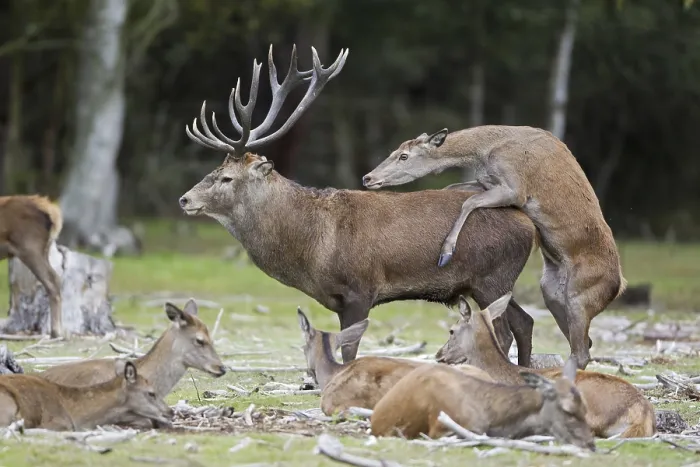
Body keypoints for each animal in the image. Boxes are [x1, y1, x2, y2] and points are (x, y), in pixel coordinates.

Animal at [177, 43, 539, 367]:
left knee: (504, 332)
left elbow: (349, 350)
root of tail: (529, 225)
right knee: (526, 322)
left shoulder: (359, 289)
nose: (185, 199)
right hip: (491, 282)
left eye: (227, 178)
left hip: (492, 278)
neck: (312, 247)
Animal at [362, 126, 627, 370]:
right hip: (552, 293)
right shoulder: (484, 182)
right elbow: (453, 187)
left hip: (581, 296)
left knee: (581, 350)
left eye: (403, 156)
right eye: (394, 151)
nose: (367, 178)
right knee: (583, 343)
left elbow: (468, 202)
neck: (485, 152)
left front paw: (446, 251)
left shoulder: (516, 188)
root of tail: (619, 287)